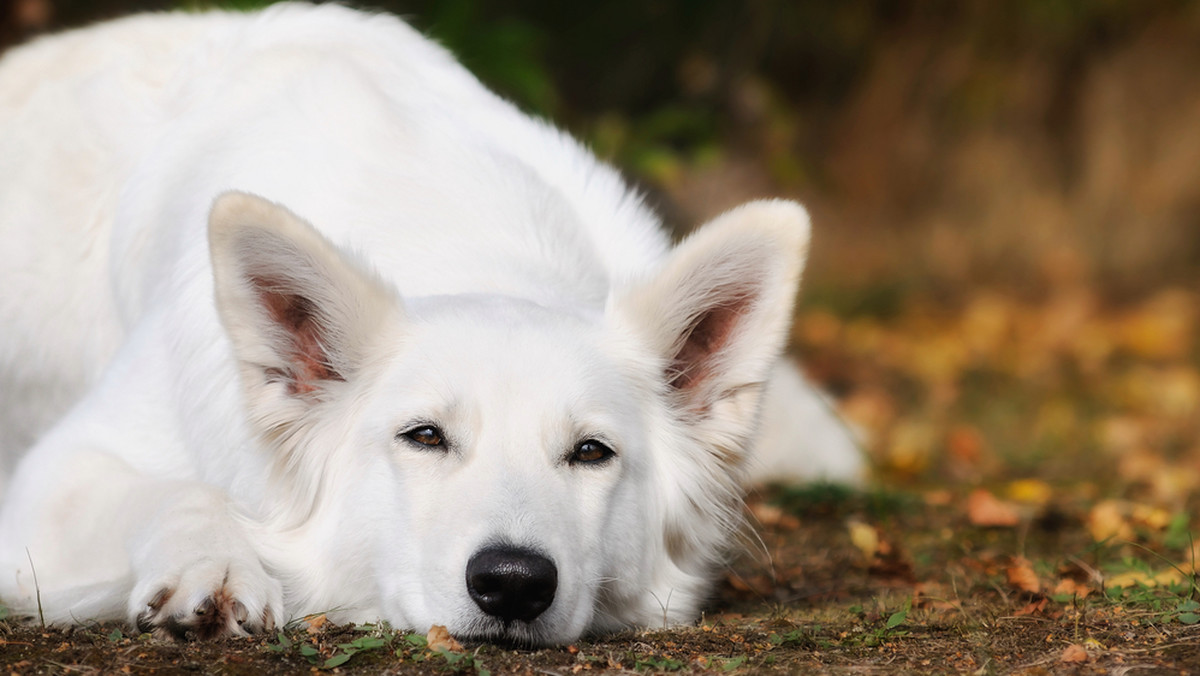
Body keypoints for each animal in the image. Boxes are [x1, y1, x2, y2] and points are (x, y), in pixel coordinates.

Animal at [0, 1, 864, 643]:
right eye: (424, 437)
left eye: (591, 452)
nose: (513, 584)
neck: (473, 247)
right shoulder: (51, 478)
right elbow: (178, 491)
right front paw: (214, 565)